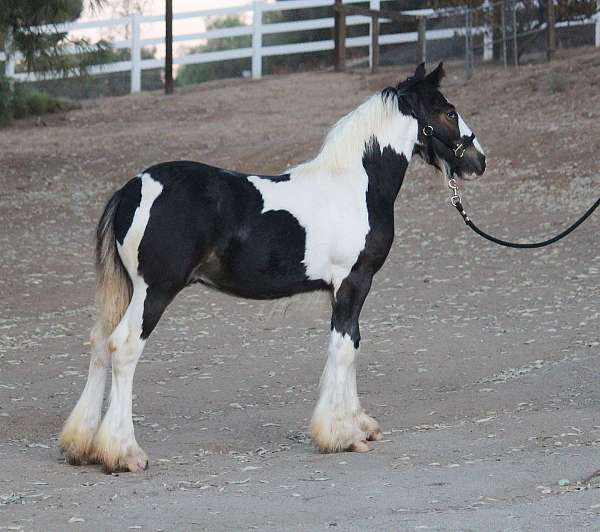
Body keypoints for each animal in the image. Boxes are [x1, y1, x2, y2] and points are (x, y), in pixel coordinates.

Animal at [57, 63, 488, 474]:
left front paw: (359, 426)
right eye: (449, 112)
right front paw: (343, 435)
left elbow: (351, 343)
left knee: (100, 344)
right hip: (154, 291)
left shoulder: (344, 289)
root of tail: (130, 189)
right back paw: (124, 453)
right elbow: (344, 348)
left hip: (128, 290)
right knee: (123, 347)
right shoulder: (354, 281)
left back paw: (82, 445)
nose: (479, 161)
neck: (355, 186)